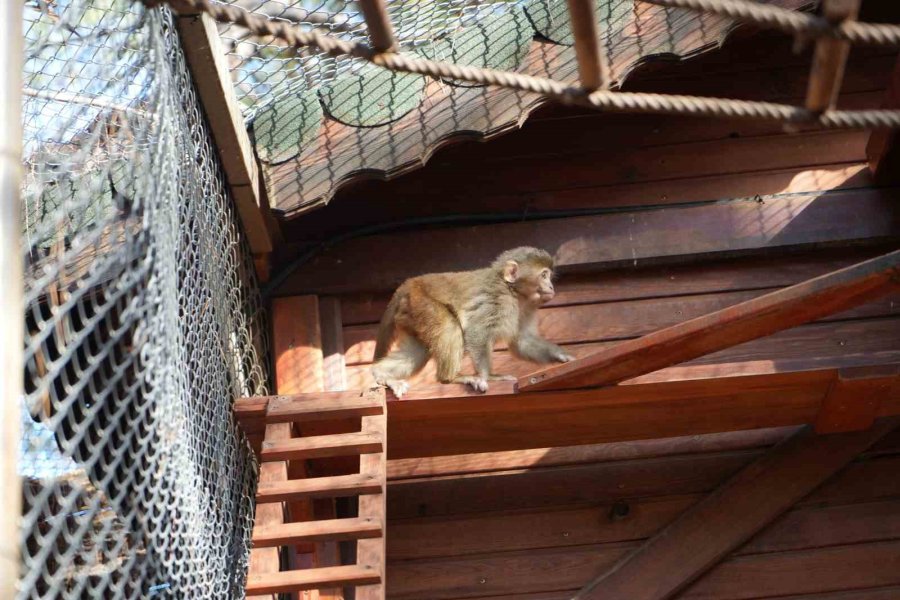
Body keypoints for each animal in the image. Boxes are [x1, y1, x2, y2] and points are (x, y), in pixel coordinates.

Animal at [370, 246, 572, 400]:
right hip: (422, 302)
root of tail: (408, 284)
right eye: (544, 275)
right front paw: (488, 377)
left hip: (411, 312)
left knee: (416, 352)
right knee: (449, 327)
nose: (551, 286)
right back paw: (450, 378)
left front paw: (560, 355)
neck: (513, 291)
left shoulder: (527, 307)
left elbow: (521, 341)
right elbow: (477, 332)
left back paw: (382, 375)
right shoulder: (500, 301)